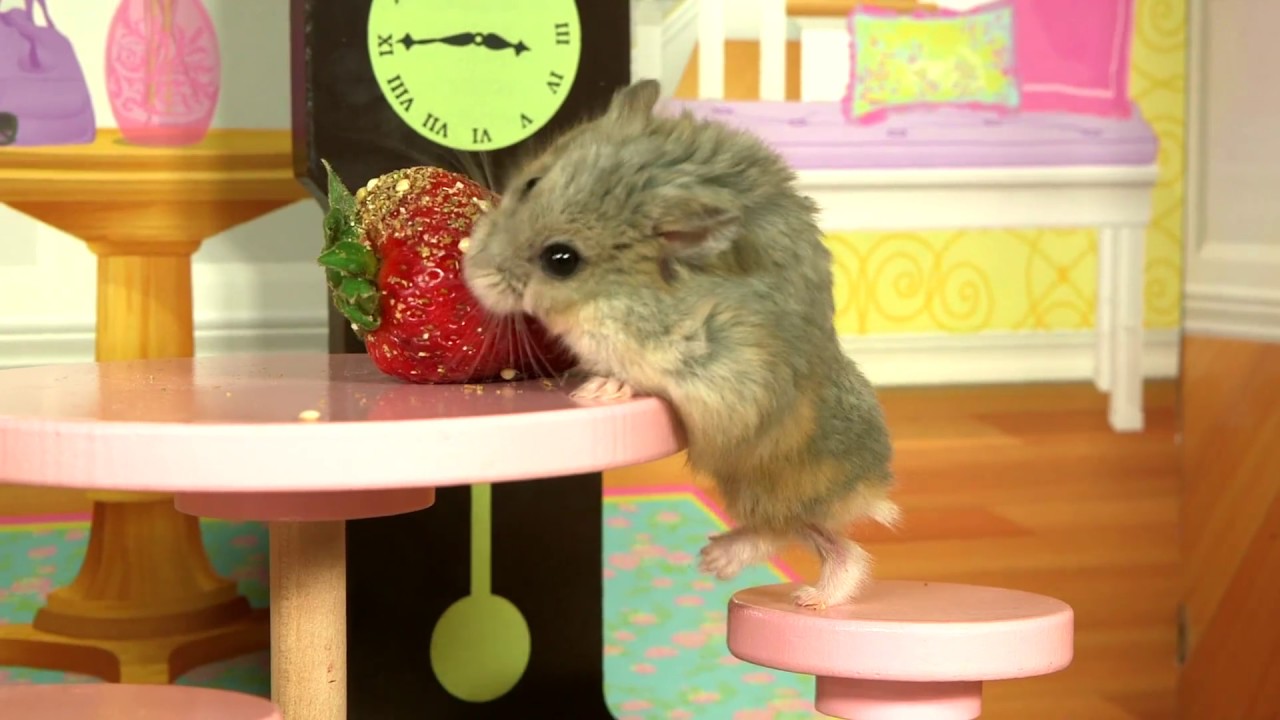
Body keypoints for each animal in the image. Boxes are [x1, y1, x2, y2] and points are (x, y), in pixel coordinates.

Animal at [461, 79, 899, 608]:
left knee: (801, 535)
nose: (469, 270)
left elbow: (643, 374)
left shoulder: (714, 373)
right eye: (531, 183)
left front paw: (598, 389)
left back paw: (736, 568)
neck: (618, 292)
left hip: (767, 480)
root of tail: (871, 483)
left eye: (561, 260)